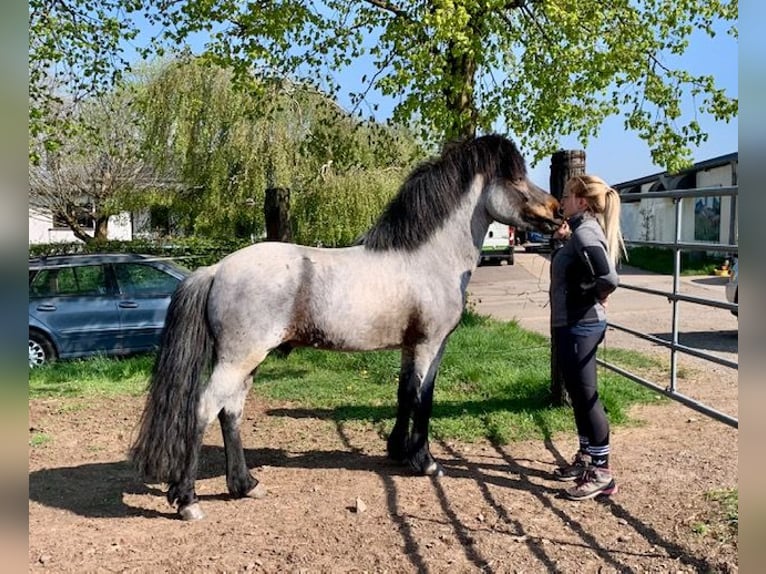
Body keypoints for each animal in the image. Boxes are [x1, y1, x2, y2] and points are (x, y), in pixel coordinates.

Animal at [130, 134, 564, 520]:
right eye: (515, 179)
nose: (558, 213)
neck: (427, 258)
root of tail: (217, 268)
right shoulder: (430, 344)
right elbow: (423, 398)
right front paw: (424, 461)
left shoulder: (410, 346)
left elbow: (404, 393)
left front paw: (397, 450)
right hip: (238, 359)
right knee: (204, 408)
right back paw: (188, 500)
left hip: (246, 361)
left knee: (230, 411)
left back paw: (246, 485)